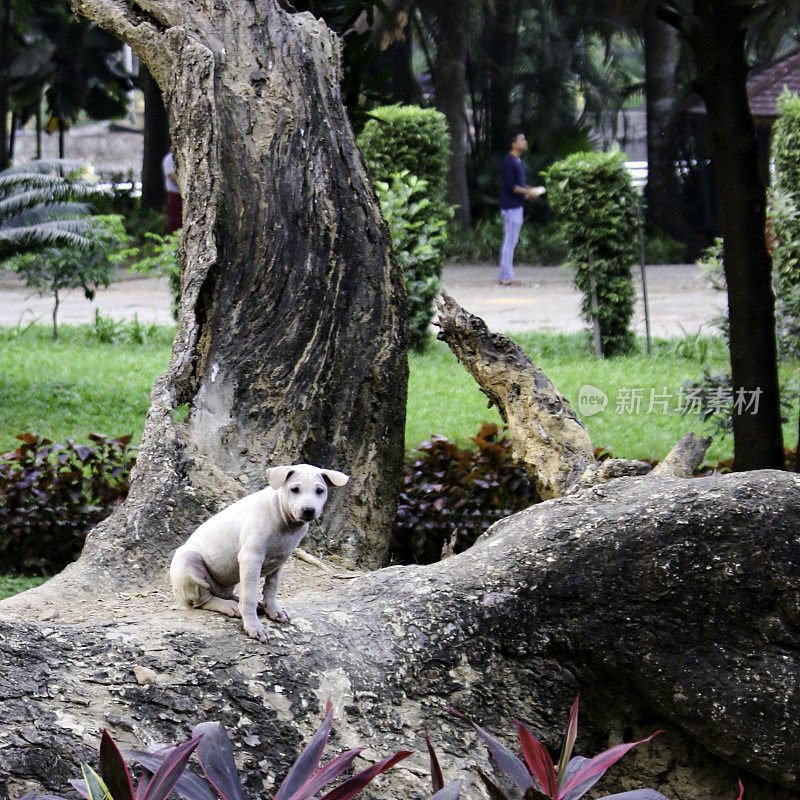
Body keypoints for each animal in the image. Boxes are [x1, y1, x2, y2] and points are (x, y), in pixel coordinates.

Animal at [170, 466, 348, 640]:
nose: (308, 510)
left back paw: (252, 604)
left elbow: (272, 586)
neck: (285, 521)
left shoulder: (281, 560)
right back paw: (230, 606)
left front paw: (273, 610)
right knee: (204, 600)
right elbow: (250, 595)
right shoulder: (251, 558)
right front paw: (254, 627)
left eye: (320, 490)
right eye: (294, 490)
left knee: (227, 595)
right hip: (188, 563)